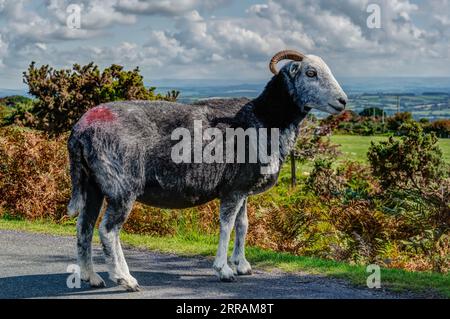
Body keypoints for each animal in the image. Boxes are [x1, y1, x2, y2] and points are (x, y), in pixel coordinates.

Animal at [67, 50, 348, 292]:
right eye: (310, 73)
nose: (343, 101)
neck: (265, 119)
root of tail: (81, 130)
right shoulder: (233, 189)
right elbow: (226, 225)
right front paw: (223, 270)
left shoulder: (242, 187)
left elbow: (243, 224)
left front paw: (242, 265)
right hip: (122, 186)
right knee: (108, 230)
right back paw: (125, 279)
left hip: (92, 184)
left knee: (84, 227)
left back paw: (91, 276)